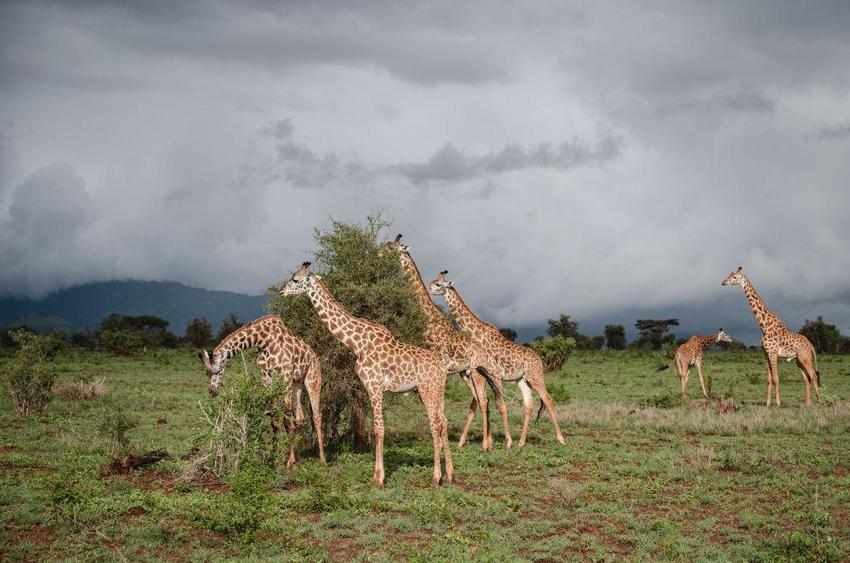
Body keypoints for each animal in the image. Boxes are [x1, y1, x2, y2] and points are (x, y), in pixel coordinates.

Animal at [197, 316, 326, 470]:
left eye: (217, 371)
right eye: (206, 373)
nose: (213, 391)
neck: (264, 341)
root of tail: (315, 357)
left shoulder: (286, 376)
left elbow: (287, 422)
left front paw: (290, 463)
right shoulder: (267, 377)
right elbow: (275, 421)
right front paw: (274, 461)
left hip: (312, 379)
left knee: (316, 415)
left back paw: (322, 459)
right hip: (297, 384)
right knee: (300, 417)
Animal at [276, 262, 450, 486]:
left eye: (296, 279)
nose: (282, 291)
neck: (356, 344)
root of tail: (442, 366)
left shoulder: (375, 386)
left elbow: (378, 428)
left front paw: (378, 477)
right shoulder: (372, 388)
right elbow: (376, 428)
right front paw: (378, 474)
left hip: (427, 389)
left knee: (435, 424)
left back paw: (436, 477)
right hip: (430, 390)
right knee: (443, 421)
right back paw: (450, 474)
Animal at [382, 236, 510, 452]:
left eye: (391, 247)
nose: (378, 253)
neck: (429, 318)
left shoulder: (439, 367)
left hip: (478, 372)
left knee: (485, 400)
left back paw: (487, 444)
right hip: (465, 373)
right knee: (480, 399)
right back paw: (475, 442)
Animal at [430, 270, 564, 448]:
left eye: (438, 284)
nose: (429, 288)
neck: (476, 333)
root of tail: (540, 360)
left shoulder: (494, 374)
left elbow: (497, 403)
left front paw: (501, 442)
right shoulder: (483, 373)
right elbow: (482, 402)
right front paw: (487, 441)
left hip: (535, 377)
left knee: (548, 399)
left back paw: (560, 439)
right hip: (522, 380)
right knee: (529, 405)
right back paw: (521, 442)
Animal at [720, 268, 820, 406]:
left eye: (734, 277)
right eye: (730, 275)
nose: (723, 282)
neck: (764, 327)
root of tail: (811, 345)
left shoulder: (773, 353)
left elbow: (776, 379)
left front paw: (777, 403)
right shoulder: (766, 353)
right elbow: (768, 379)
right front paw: (767, 403)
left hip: (805, 357)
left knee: (813, 376)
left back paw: (819, 402)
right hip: (798, 360)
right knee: (806, 378)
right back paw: (807, 404)